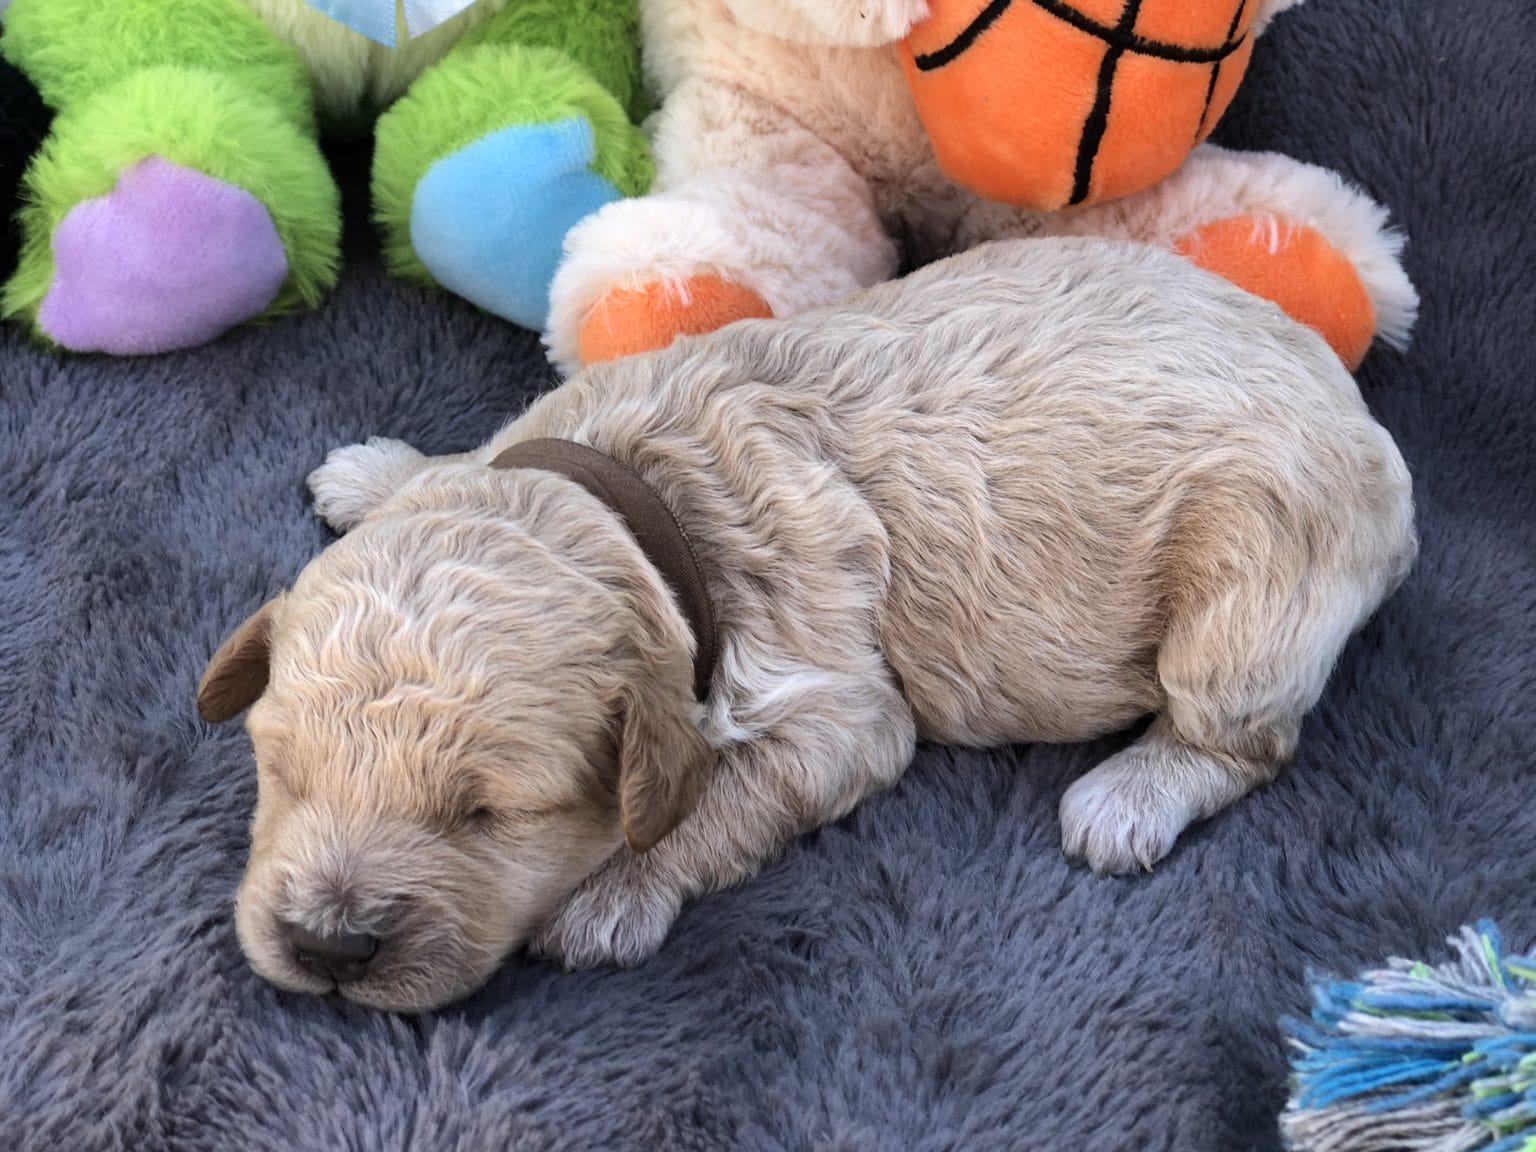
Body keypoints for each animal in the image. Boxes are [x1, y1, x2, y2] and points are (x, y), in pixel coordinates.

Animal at [201, 236, 1413, 1007]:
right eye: (282, 771)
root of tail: (1368, 429)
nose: (328, 946)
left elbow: (718, 800)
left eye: (487, 817)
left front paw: (613, 893)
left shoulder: (841, 709)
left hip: (1255, 588)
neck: (634, 498)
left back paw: (1131, 795)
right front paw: (387, 472)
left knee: (1244, 738)